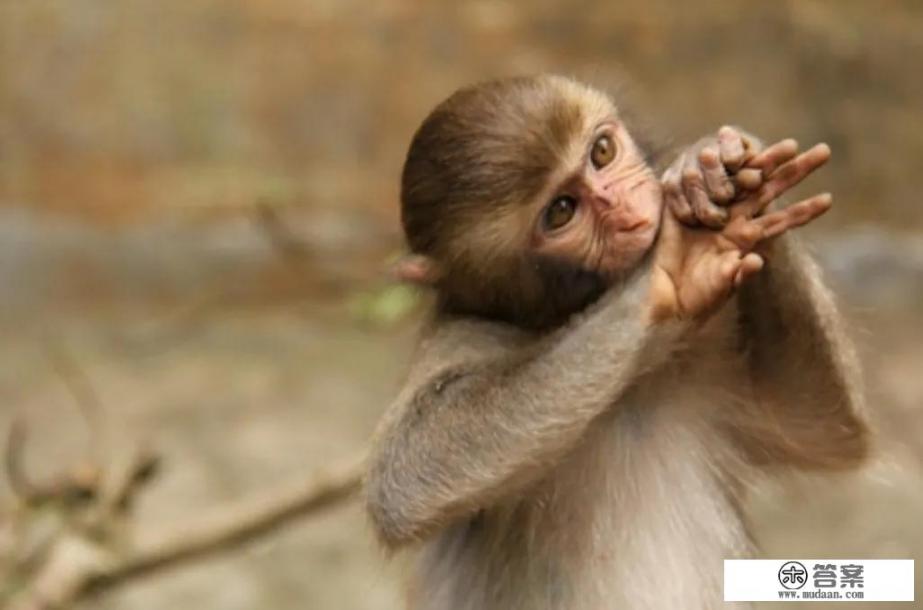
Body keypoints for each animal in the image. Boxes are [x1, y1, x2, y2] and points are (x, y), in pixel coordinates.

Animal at [364, 76, 868, 608]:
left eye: (601, 152)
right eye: (562, 211)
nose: (629, 208)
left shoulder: (710, 349)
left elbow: (821, 428)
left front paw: (709, 166)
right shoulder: (458, 336)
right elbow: (406, 473)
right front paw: (675, 264)